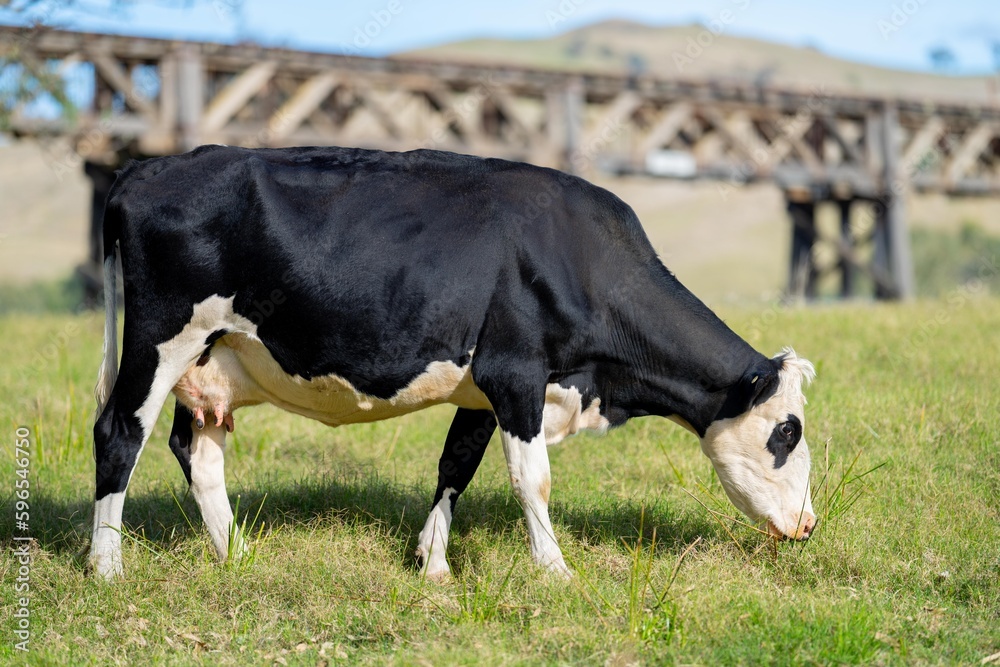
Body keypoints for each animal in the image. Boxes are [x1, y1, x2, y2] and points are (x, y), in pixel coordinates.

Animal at [89, 144, 816, 581]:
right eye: (788, 432)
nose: (809, 525)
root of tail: (143, 169)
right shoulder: (517, 372)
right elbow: (533, 480)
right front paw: (554, 568)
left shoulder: (482, 388)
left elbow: (454, 467)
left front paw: (433, 564)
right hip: (161, 338)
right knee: (118, 433)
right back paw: (107, 567)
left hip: (213, 359)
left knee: (196, 449)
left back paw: (234, 552)